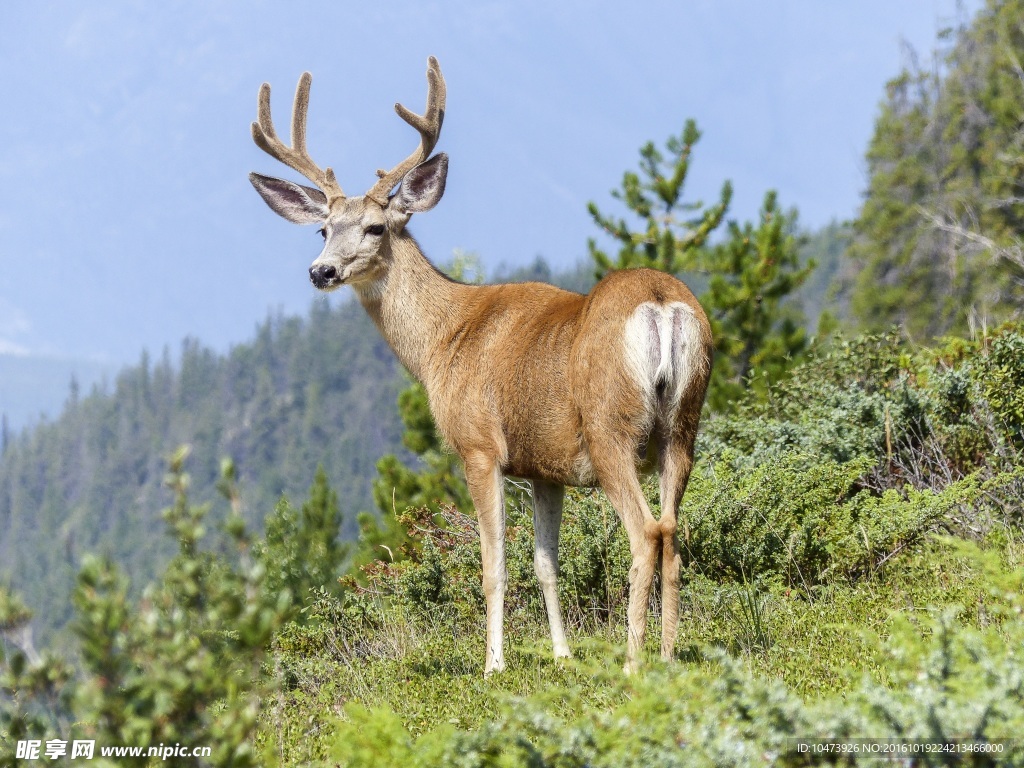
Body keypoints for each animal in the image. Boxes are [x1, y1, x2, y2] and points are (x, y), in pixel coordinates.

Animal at [247, 58, 712, 671]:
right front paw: (562, 656)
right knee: (674, 532)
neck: (443, 341)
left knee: (647, 533)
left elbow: (494, 567)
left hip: (611, 427)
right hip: (683, 424)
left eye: (375, 227)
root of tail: (661, 304)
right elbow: (546, 564)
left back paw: (634, 660)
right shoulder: (545, 467)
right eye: (324, 228)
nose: (320, 271)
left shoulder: (479, 445)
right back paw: (667, 656)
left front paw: (494, 664)